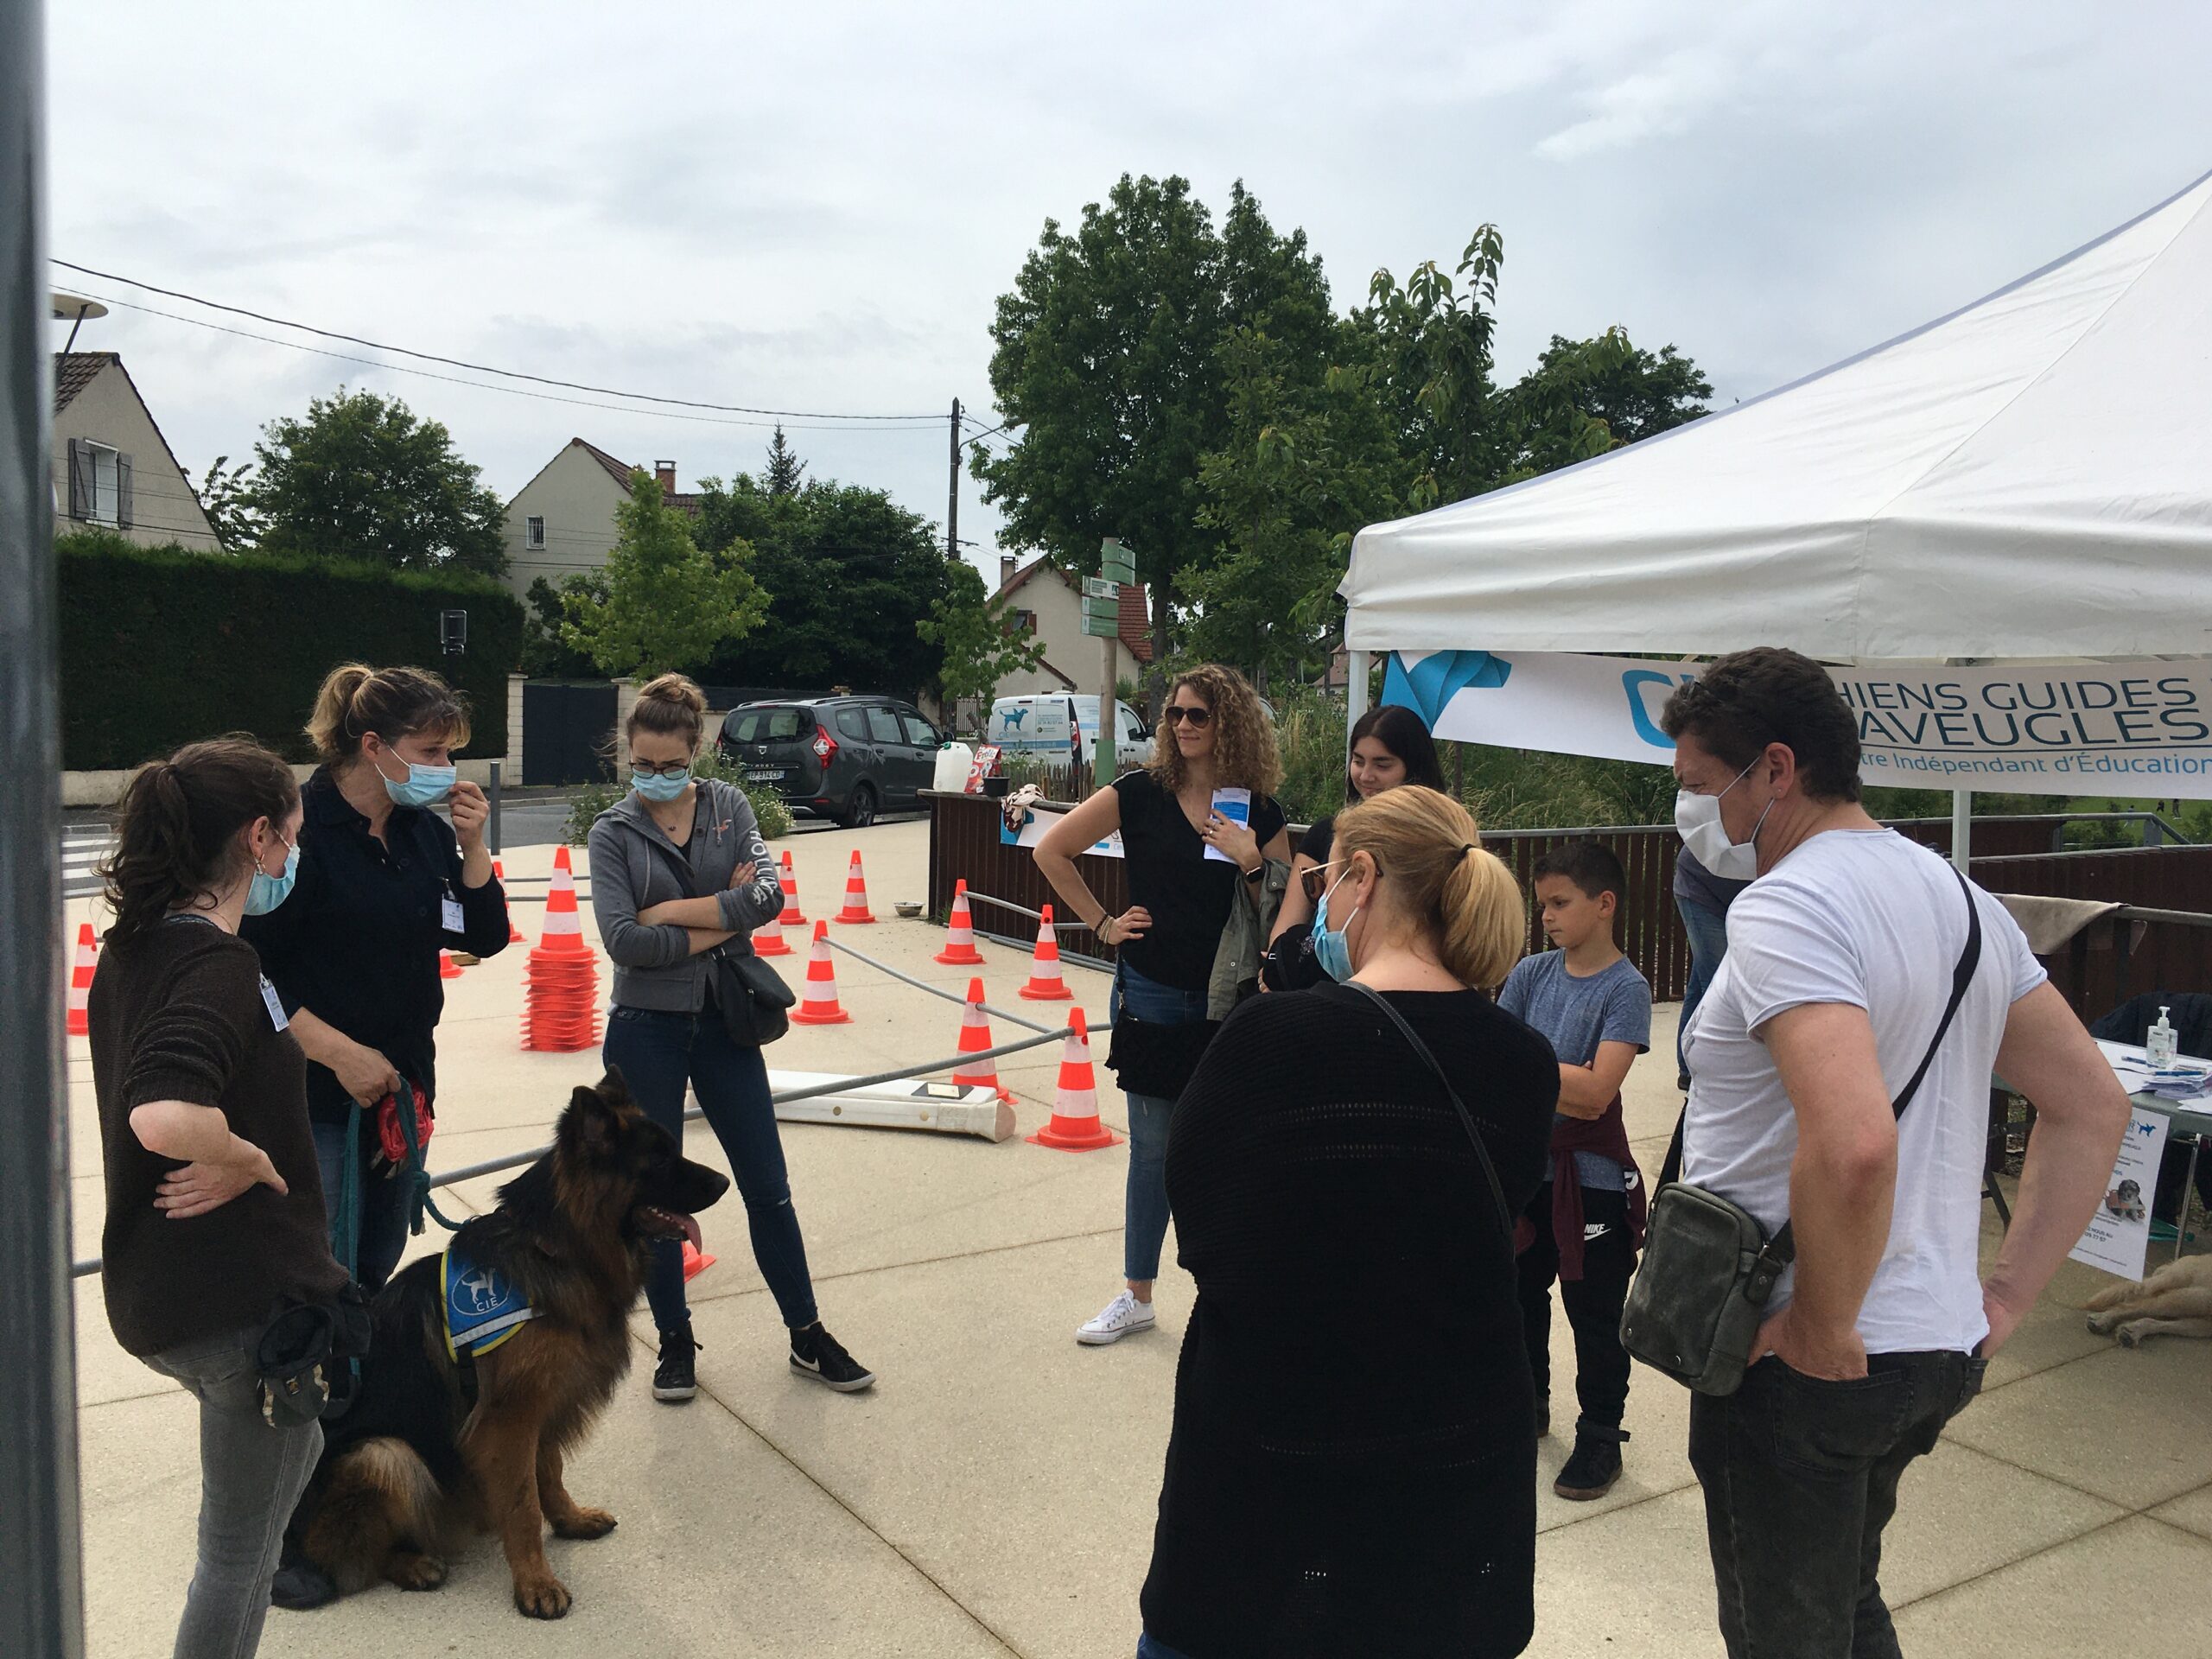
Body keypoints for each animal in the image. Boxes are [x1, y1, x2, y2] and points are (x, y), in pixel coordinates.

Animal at [291, 1071, 725, 1618]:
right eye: (661, 1160)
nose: (725, 1182)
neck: (555, 1248)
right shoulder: (509, 1420)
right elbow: (521, 1506)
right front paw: (536, 1583)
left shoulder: (540, 1406)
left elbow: (550, 1472)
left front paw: (568, 1520)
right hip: (383, 1455)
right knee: (347, 1554)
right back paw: (412, 1564)